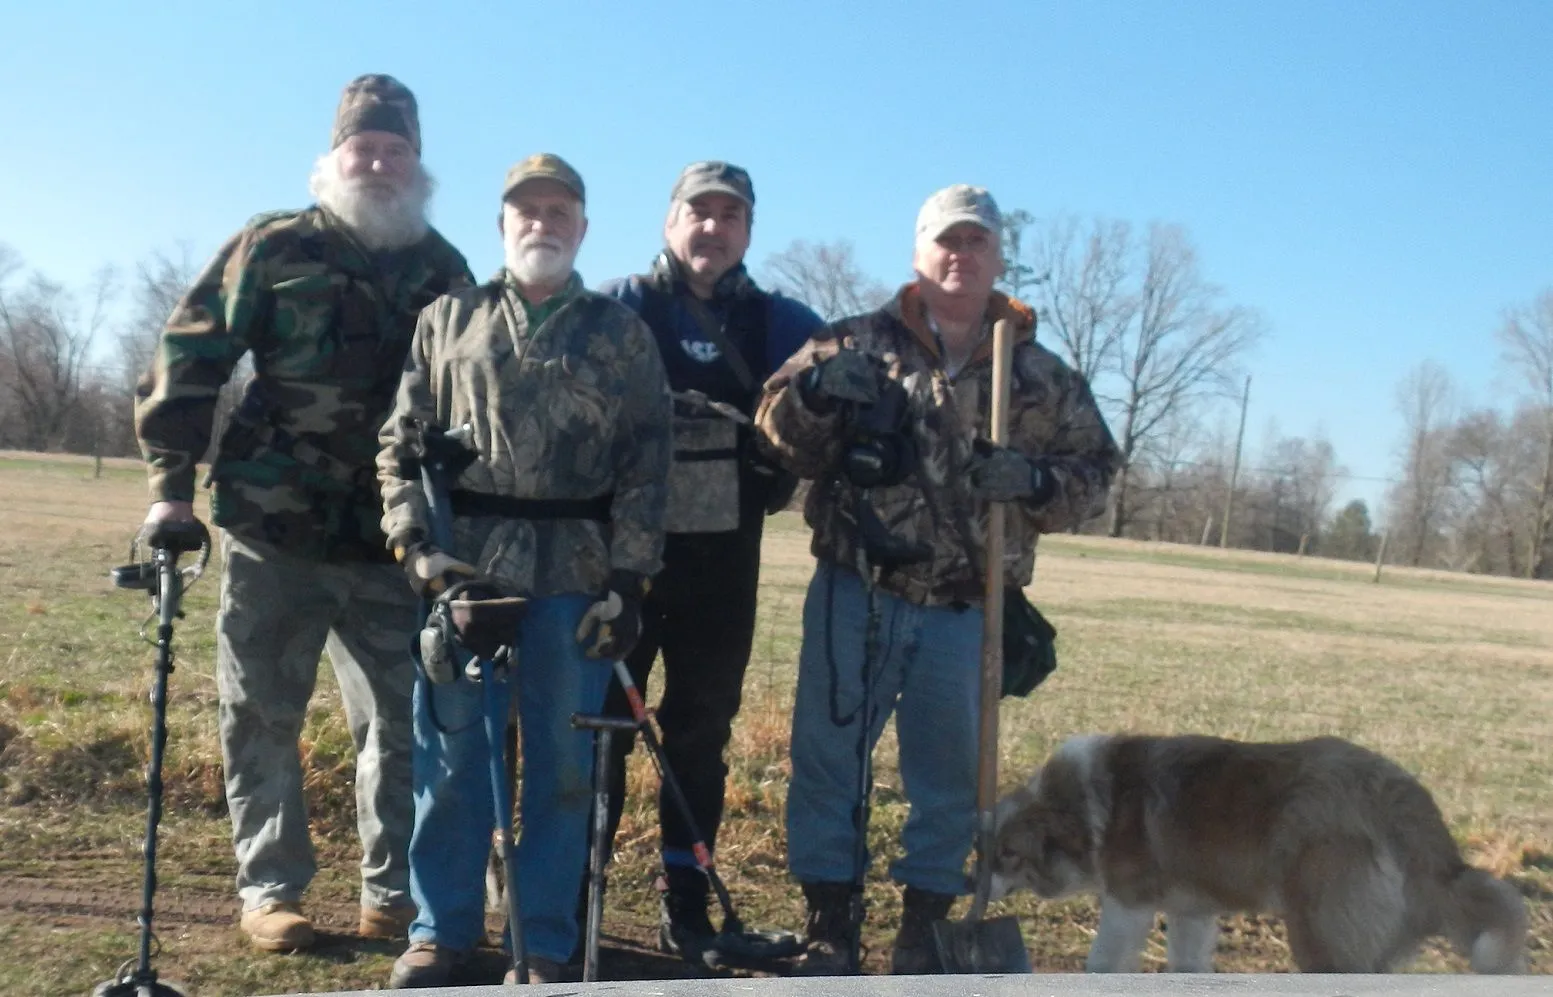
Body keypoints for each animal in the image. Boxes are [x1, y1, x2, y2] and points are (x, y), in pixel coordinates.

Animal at [987, 729, 1521, 969]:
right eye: (987, 850)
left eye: (1008, 855)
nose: (976, 888)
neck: (1091, 803)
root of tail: (1398, 795)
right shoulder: (1190, 913)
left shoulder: (1128, 908)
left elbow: (1101, 962)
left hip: (1317, 932)